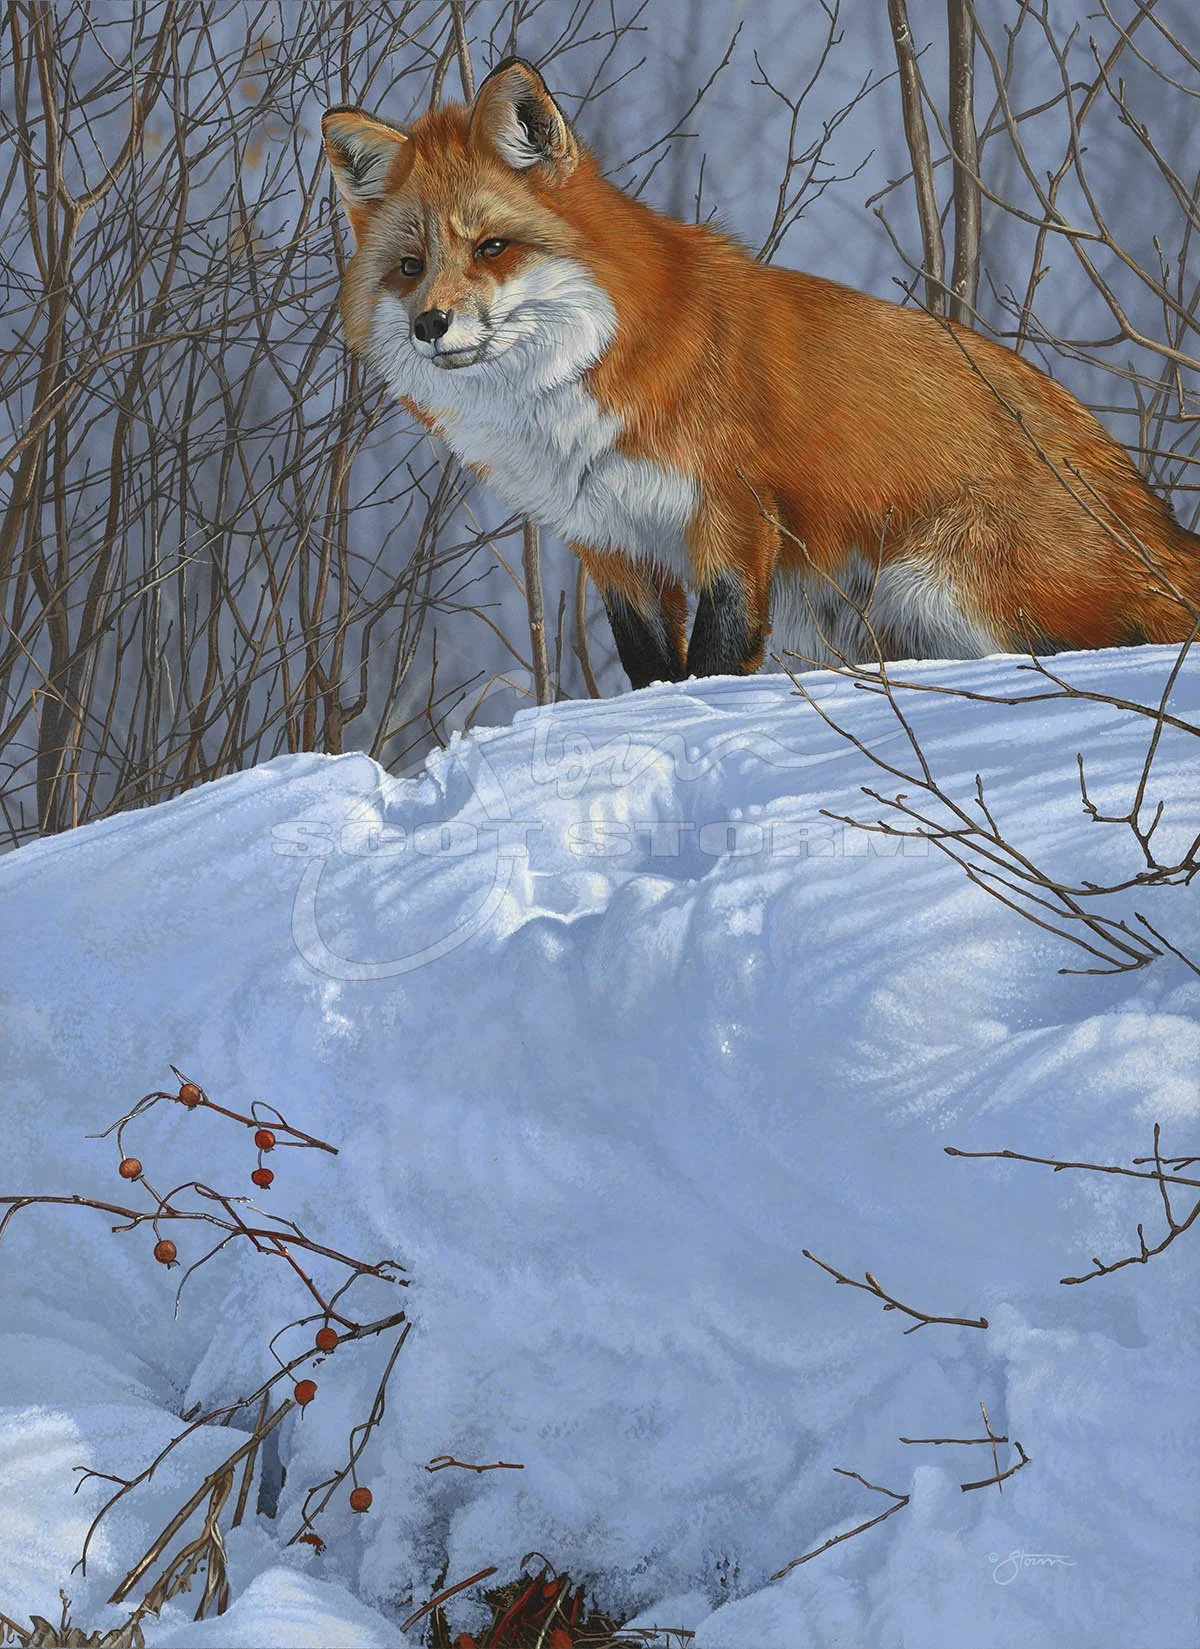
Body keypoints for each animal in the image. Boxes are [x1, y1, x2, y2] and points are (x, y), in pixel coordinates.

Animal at [322, 57, 1200, 689]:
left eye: (492, 248)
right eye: (409, 267)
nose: (431, 324)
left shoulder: (734, 512)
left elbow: (716, 654)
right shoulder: (608, 541)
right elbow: (651, 667)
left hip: (934, 583)